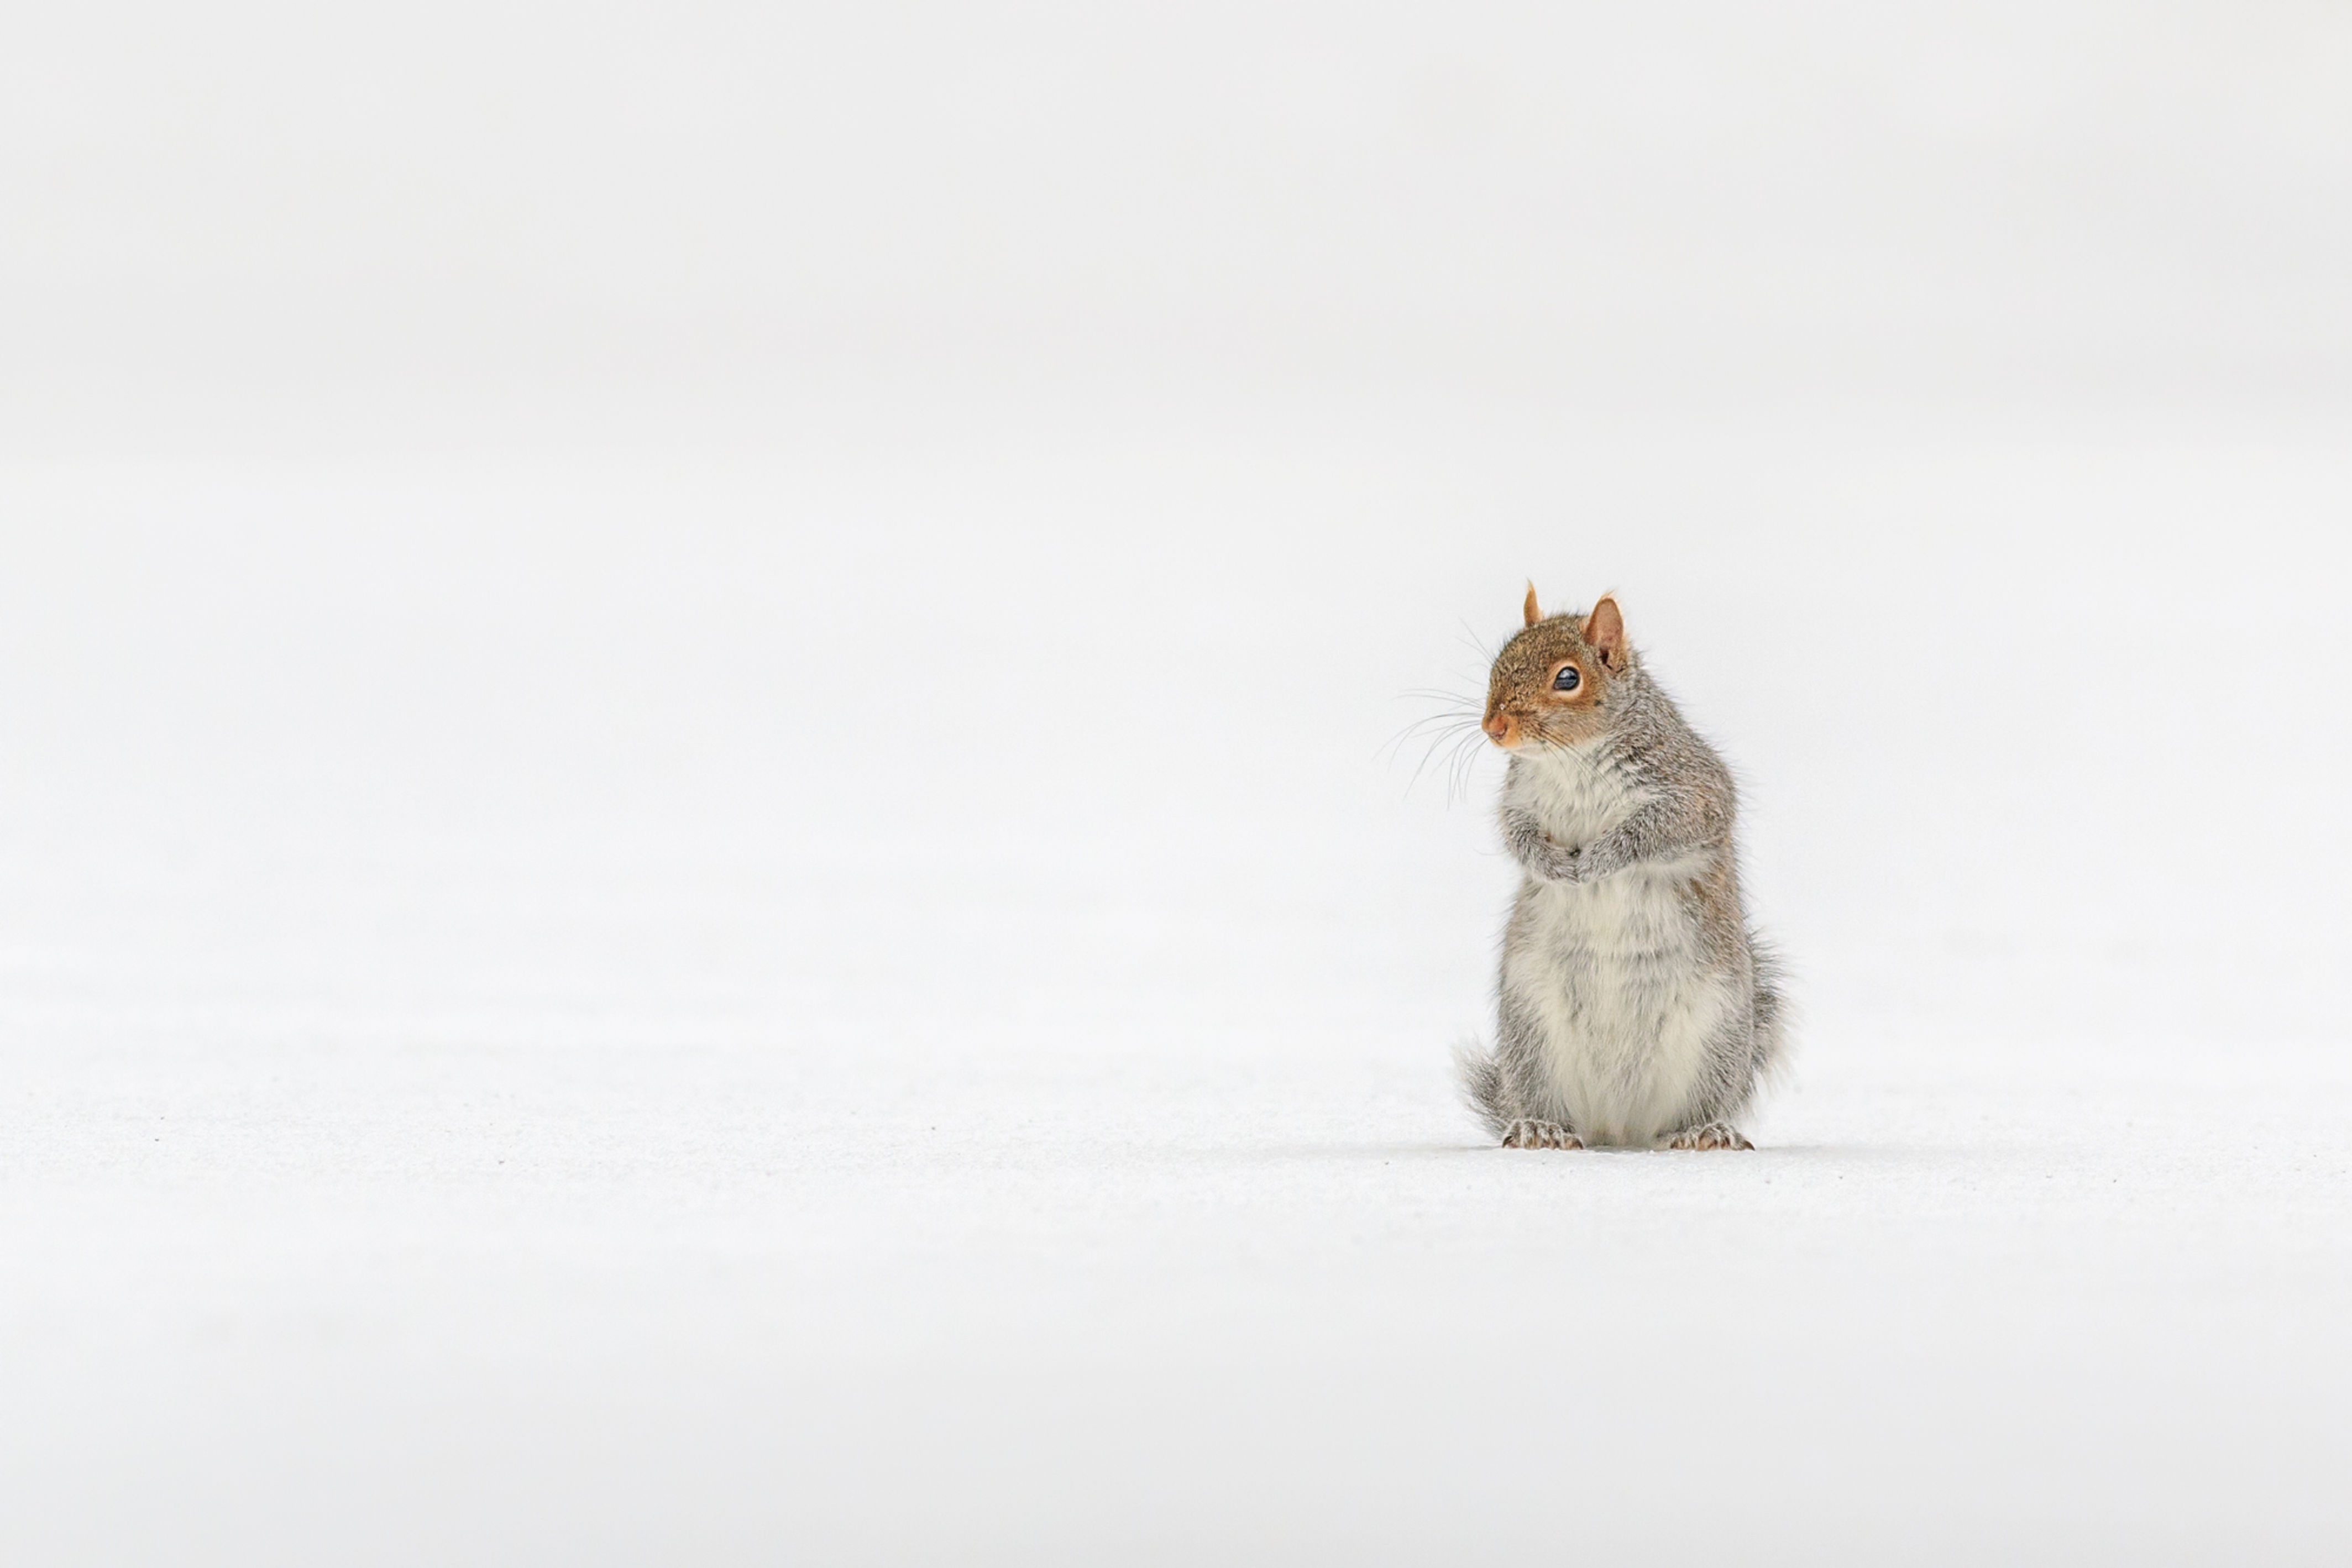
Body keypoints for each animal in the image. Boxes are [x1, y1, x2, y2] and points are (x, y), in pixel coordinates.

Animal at [1457, 586, 1786, 1150]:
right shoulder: (1519, 799)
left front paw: (1599, 858)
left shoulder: (1693, 791)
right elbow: (1516, 836)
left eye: (1567, 678)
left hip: (1717, 1035)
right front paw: (1551, 865)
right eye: (1499, 661)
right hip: (1529, 1033)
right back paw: (1540, 1128)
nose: (1492, 728)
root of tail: (1619, 1125)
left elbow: (1655, 829)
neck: (1570, 758)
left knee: (1693, 1109)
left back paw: (1701, 1132)